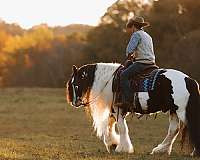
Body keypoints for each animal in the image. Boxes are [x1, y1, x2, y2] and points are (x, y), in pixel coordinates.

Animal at [66, 62, 200, 156]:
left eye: (75, 84)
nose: (74, 102)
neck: (109, 82)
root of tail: (189, 80)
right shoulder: (114, 111)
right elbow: (110, 126)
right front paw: (112, 144)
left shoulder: (118, 109)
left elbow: (122, 128)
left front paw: (122, 148)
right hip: (174, 110)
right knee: (174, 130)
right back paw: (160, 150)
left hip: (182, 111)